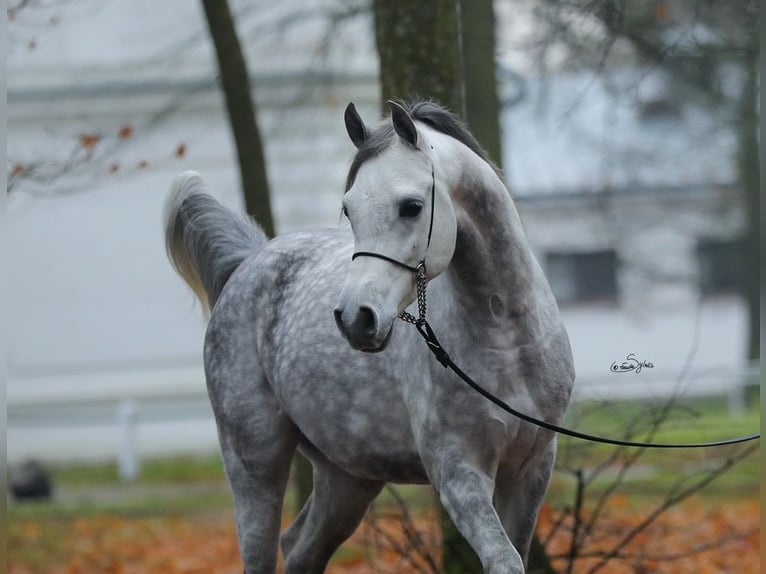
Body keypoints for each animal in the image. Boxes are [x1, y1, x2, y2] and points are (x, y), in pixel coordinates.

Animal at [168, 101, 576, 572]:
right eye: (348, 208)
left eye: (412, 206)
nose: (355, 318)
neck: (507, 343)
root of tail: (248, 261)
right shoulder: (458, 471)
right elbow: (503, 560)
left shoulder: (531, 469)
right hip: (255, 463)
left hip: (346, 479)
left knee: (300, 548)